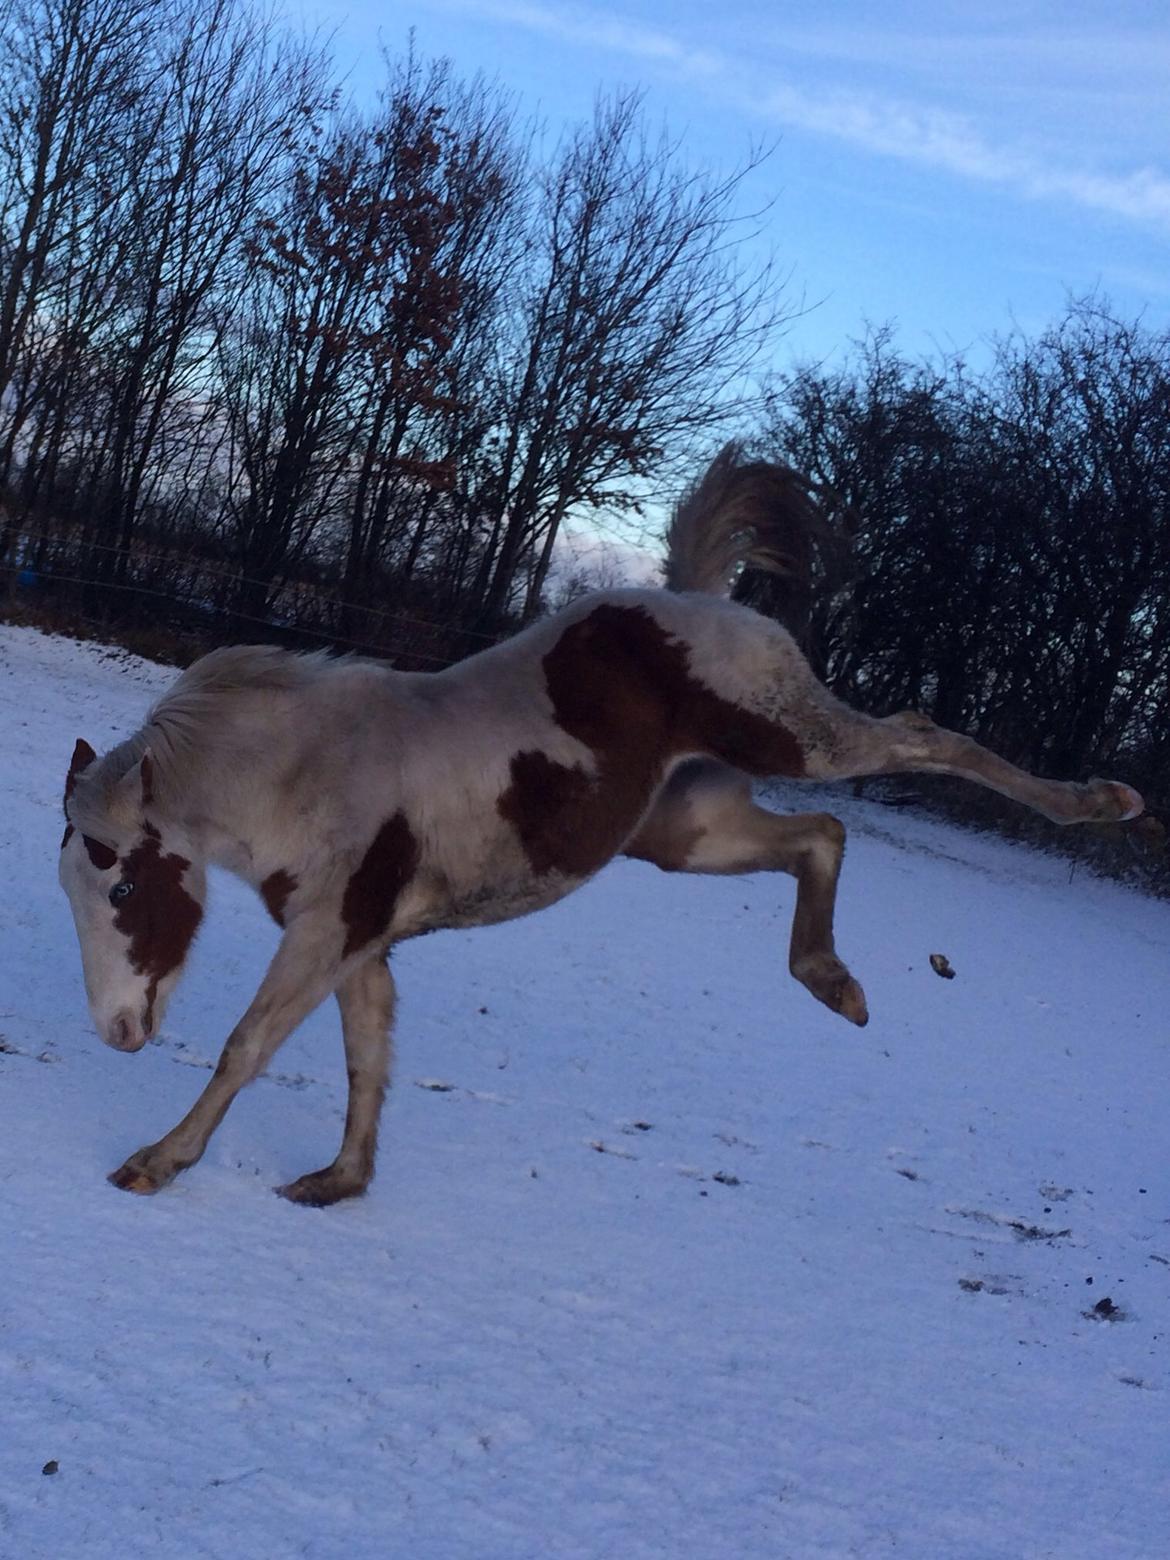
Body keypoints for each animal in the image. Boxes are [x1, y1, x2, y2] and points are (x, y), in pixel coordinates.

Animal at [57, 452, 1148, 1204]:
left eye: (123, 886)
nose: (115, 1032)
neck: (311, 772)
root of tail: (695, 600)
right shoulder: (361, 942)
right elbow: (369, 1055)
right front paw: (337, 1183)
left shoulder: (329, 933)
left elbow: (247, 1046)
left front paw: (156, 1163)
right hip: (682, 831)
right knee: (823, 837)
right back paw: (835, 986)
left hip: (793, 737)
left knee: (917, 740)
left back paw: (1104, 805)